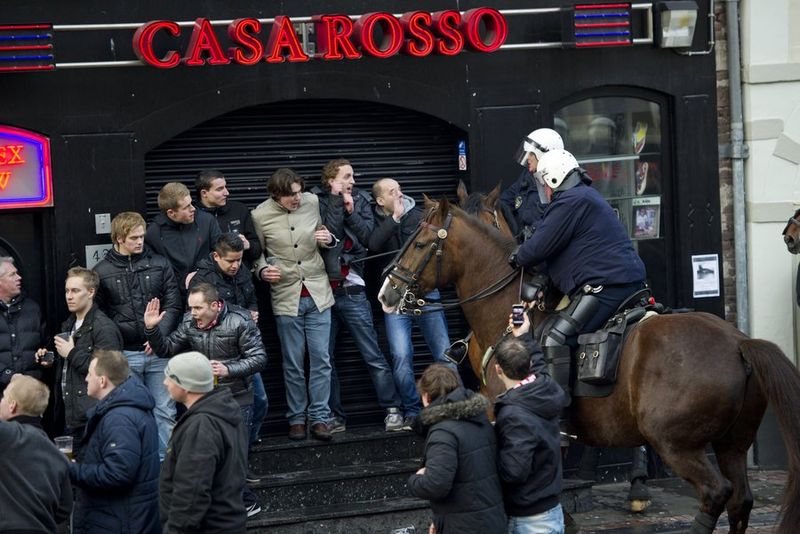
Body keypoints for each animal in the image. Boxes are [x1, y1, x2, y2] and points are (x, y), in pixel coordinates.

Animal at [378, 198, 800, 534]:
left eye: (419, 243)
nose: (386, 294)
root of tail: (739, 343)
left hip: (677, 444)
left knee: (716, 494)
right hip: (731, 444)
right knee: (740, 500)